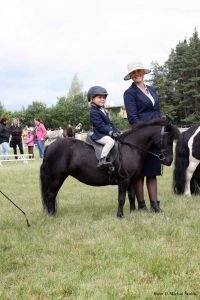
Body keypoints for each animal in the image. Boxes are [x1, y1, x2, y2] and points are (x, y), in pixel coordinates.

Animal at [39, 119, 180, 218]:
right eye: (168, 140)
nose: (169, 161)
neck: (131, 147)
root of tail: (50, 147)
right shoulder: (124, 180)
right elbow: (121, 198)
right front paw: (120, 216)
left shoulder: (131, 180)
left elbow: (131, 195)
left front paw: (133, 213)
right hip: (56, 178)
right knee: (50, 195)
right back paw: (52, 216)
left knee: (51, 195)